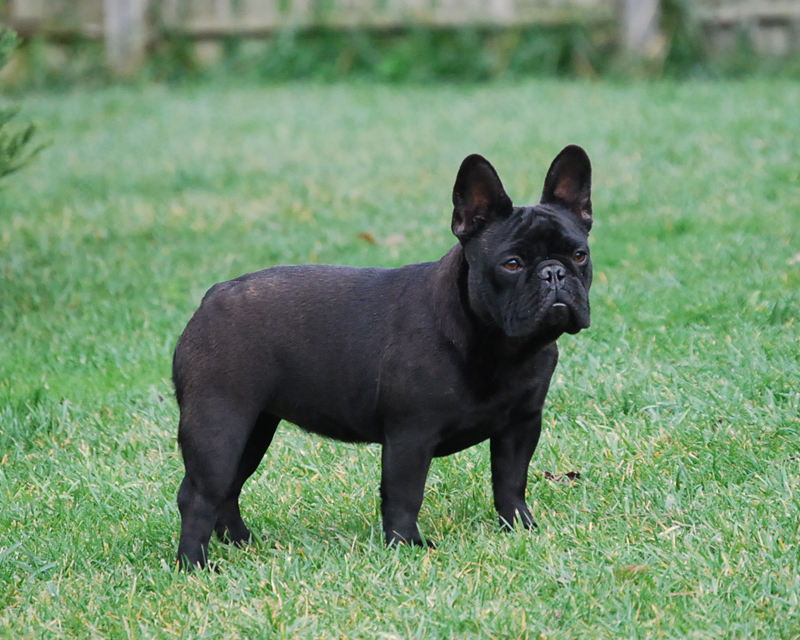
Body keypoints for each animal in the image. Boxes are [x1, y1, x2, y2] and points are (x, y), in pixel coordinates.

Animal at [172, 142, 592, 568]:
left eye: (579, 256)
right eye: (512, 264)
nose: (553, 273)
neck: (500, 345)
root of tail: (211, 298)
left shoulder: (521, 425)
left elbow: (510, 482)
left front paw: (521, 527)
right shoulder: (411, 435)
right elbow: (405, 495)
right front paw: (406, 545)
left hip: (255, 427)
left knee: (229, 488)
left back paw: (241, 542)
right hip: (220, 425)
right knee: (200, 495)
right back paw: (196, 565)